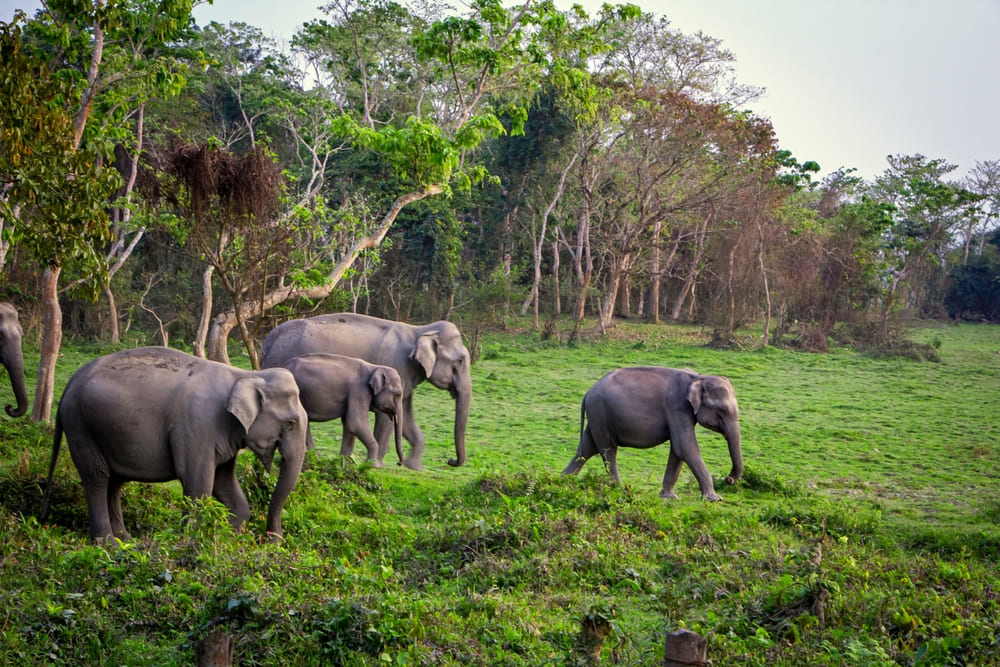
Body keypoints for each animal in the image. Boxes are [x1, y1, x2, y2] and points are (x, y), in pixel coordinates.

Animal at [41, 350, 308, 544]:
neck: (247, 374)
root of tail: (71, 382)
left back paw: (126, 540)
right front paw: (191, 542)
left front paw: (228, 539)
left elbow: (224, 483)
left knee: (114, 482)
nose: (271, 541)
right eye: (291, 423)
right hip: (80, 424)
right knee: (97, 476)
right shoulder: (197, 427)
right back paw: (107, 543)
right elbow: (198, 483)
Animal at [276, 352, 404, 468]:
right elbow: (356, 423)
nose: (399, 463)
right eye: (398, 394)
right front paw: (372, 465)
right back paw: (315, 457)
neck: (374, 367)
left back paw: (316, 457)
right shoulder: (359, 391)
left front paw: (345, 463)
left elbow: (348, 424)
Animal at [564, 368, 744, 504]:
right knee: (608, 450)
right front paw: (715, 499)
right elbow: (684, 445)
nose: (728, 479)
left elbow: (678, 449)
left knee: (587, 448)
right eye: (721, 411)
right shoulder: (677, 408)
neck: (699, 377)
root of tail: (588, 392)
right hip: (600, 413)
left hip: (597, 416)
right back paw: (619, 490)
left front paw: (669, 497)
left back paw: (562, 481)